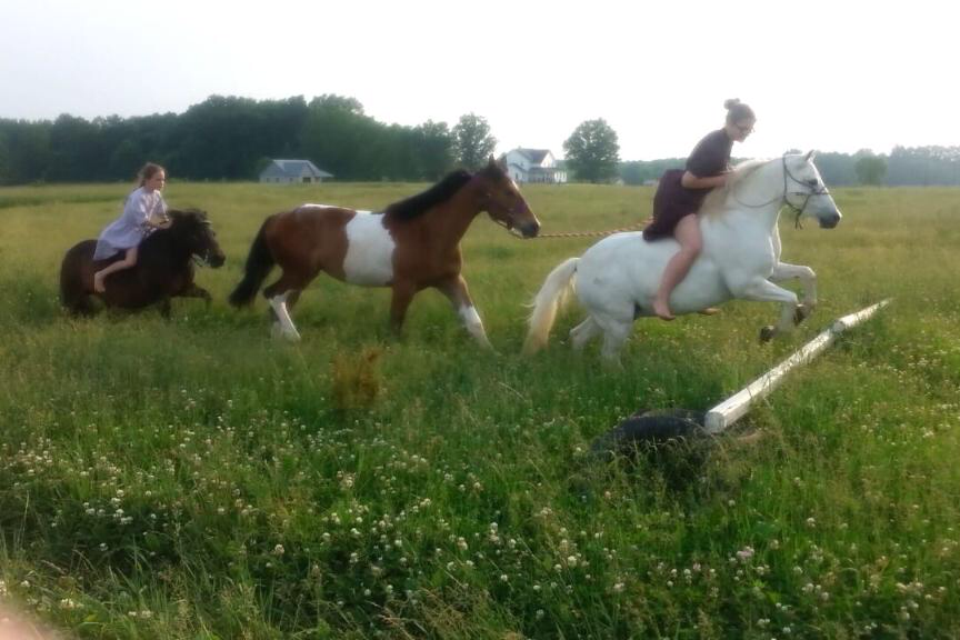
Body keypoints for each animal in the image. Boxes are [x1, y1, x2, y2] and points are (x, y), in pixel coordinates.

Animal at [59, 208, 226, 317]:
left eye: (213, 232)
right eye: (195, 234)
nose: (220, 258)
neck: (172, 258)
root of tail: (69, 253)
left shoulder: (185, 289)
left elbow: (207, 296)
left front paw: (206, 314)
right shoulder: (162, 297)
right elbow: (168, 317)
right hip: (72, 298)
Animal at [229, 158, 541, 344]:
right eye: (508, 191)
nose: (533, 227)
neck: (427, 231)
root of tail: (278, 217)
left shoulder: (451, 281)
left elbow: (474, 322)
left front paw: (489, 354)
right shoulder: (404, 287)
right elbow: (394, 328)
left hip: (303, 276)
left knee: (280, 303)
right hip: (299, 272)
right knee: (273, 296)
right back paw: (294, 338)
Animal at [523, 152, 842, 363]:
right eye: (812, 181)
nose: (834, 218)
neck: (743, 220)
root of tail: (581, 262)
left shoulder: (771, 272)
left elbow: (808, 274)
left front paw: (803, 312)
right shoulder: (749, 285)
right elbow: (789, 297)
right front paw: (774, 330)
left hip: (608, 317)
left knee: (578, 336)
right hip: (618, 323)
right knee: (608, 357)